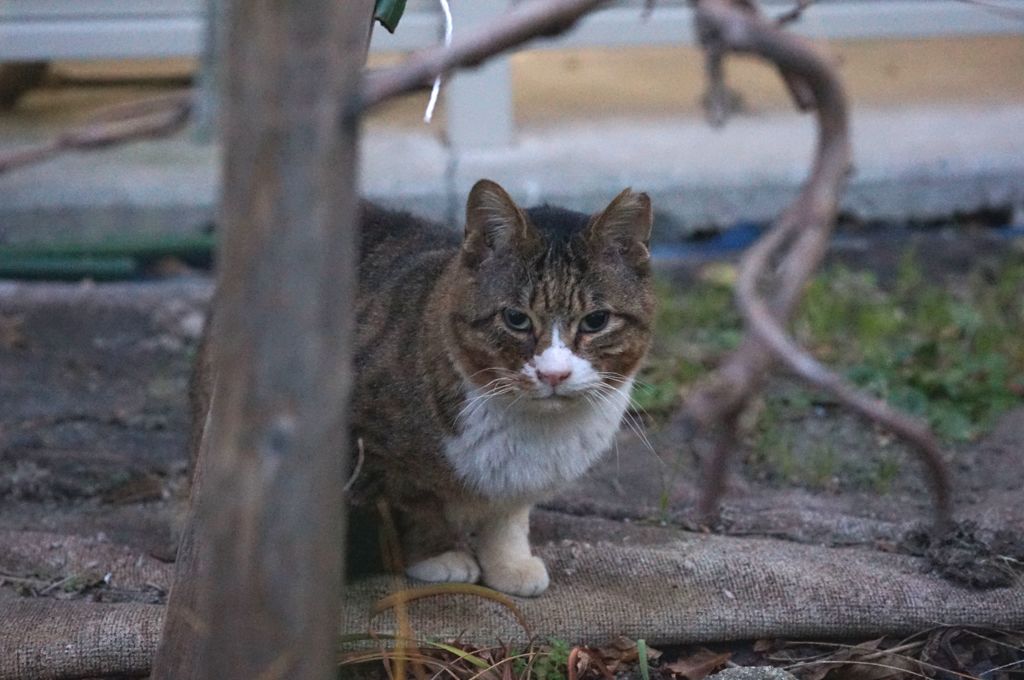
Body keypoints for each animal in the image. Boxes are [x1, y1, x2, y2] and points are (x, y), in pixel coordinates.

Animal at [192, 179, 655, 593]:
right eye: (516, 319)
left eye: (595, 321)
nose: (554, 374)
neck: (533, 430)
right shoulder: (373, 453)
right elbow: (416, 506)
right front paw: (439, 556)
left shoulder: (518, 484)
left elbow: (508, 516)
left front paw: (509, 564)